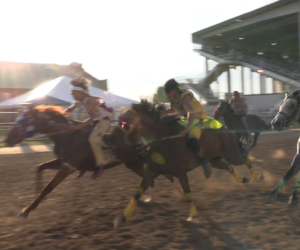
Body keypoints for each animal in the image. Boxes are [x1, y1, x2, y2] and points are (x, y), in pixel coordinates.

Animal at [3, 104, 177, 218]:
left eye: (23, 121)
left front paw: (26, 211)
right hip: (133, 164)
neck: (67, 135)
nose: (7, 139)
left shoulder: (68, 167)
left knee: (164, 174)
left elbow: (48, 188)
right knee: (151, 178)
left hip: (142, 159)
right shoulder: (62, 162)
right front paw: (34, 193)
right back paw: (149, 199)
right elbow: (40, 167)